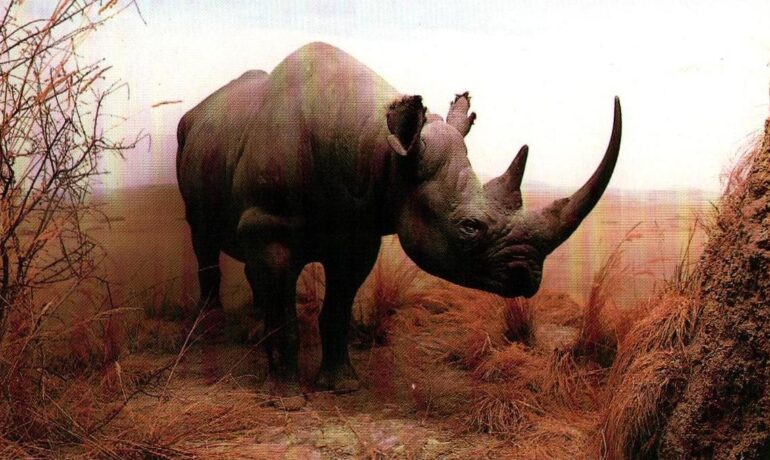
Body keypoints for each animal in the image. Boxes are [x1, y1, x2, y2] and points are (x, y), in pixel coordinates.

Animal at [176, 42, 621, 396]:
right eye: (469, 227)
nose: (528, 277)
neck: (378, 147)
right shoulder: (271, 223)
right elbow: (285, 313)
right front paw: (286, 397)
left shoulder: (358, 232)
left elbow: (337, 306)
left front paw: (342, 386)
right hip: (190, 145)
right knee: (203, 237)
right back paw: (209, 329)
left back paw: (252, 330)